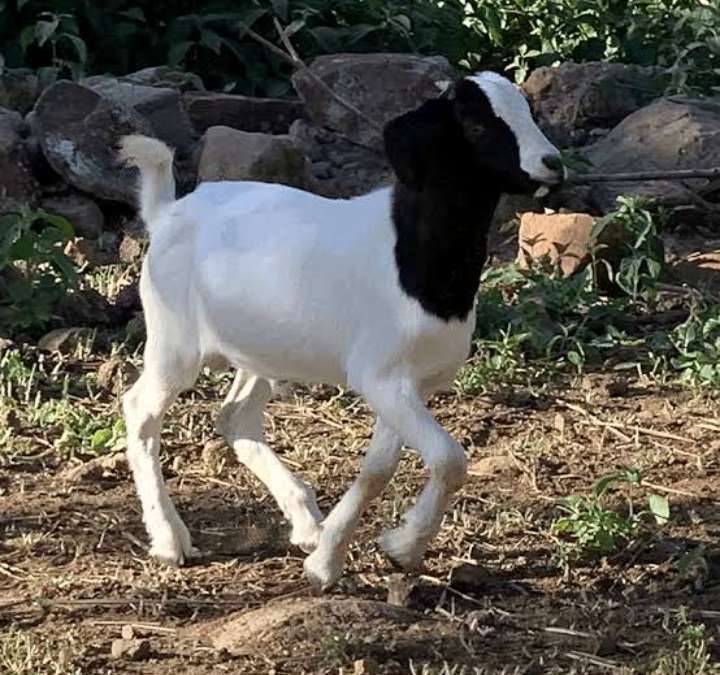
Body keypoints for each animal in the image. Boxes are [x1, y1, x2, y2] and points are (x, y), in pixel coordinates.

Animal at [119, 71, 563, 590]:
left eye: (526, 110)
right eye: (475, 124)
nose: (553, 164)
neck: (411, 252)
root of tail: (165, 214)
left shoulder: (408, 385)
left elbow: (379, 469)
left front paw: (362, 551)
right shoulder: (381, 377)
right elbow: (449, 460)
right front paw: (384, 550)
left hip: (261, 352)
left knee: (236, 418)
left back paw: (307, 524)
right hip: (174, 341)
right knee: (141, 410)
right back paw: (170, 539)